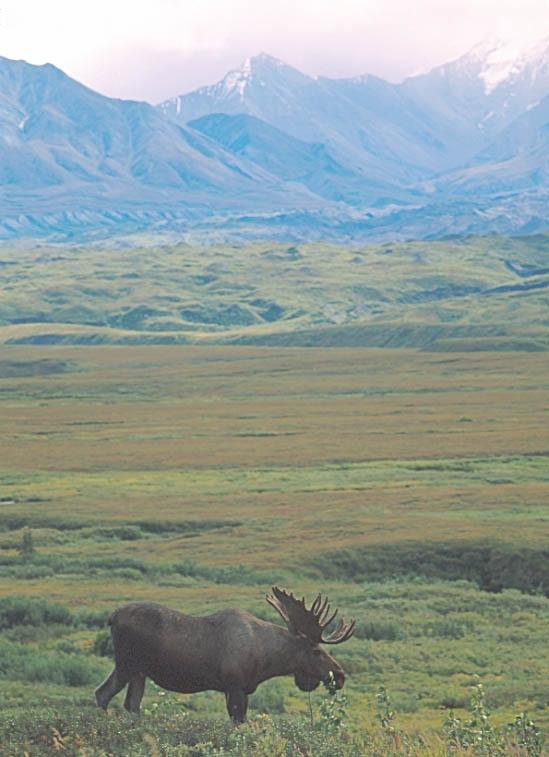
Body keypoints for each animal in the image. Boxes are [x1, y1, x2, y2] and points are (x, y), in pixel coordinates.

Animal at [95, 586, 355, 723]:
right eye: (316, 651)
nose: (340, 675)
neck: (267, 659)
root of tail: (111, 617)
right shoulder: (235, 686)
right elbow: (238, 722)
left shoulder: (238, 689)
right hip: (127, 664)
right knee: (103, 693)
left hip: (139, 672)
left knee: (129, 703)